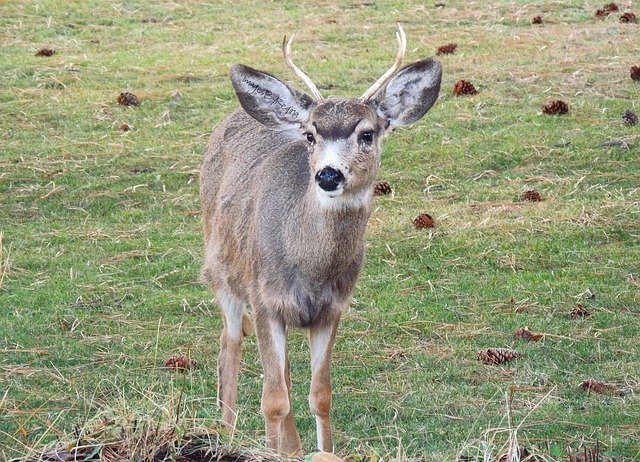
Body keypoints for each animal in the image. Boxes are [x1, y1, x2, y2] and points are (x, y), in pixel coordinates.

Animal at [200, 24, 440, 454]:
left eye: (367, 133)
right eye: (311, 135)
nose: (328, 175)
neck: (309, 268)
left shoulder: (332, 307)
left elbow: (320, 396)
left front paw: (316, 450)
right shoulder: (264, 299)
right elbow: (273, 401)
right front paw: (273, 450)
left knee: (280, 373)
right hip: (221, 271)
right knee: (231, 344)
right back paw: (227, 432)